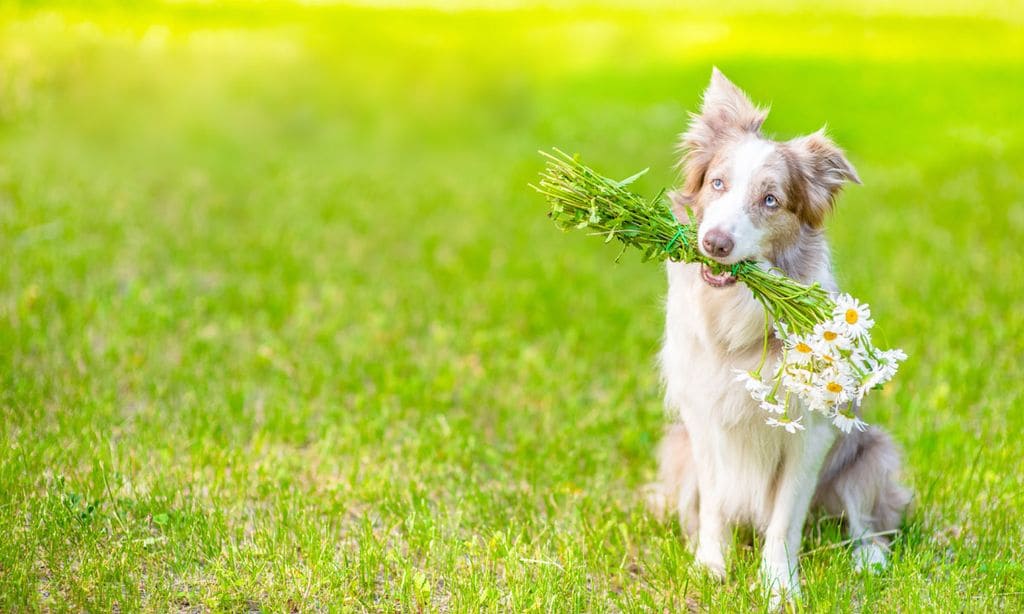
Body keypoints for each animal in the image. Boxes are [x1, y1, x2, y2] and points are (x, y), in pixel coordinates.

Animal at [647, 68, 913, 605]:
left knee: (868, 523)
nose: (715, 244)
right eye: (717, 183)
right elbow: (714, 506)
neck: (735, 319)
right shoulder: (702, 423)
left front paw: (779, 587)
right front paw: (711, 568)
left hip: (871, 453)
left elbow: (784, 519)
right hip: (676, 449)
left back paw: (867, 560)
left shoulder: (809, 434)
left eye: (770, 200)